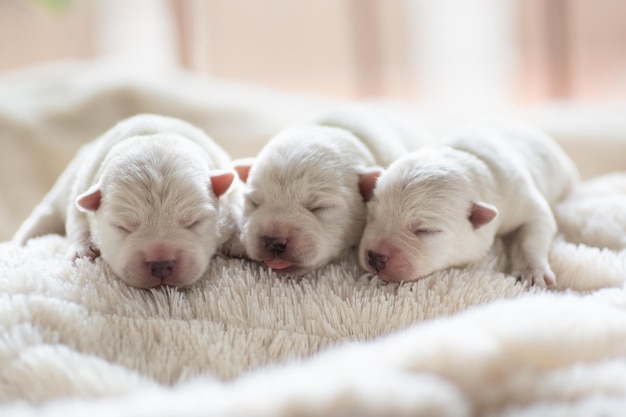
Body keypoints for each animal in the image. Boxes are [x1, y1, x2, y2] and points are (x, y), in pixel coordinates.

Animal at [15, 114, 239, 290]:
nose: (161, 265)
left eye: (195, 221)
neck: (153, 135)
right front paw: (81, 252)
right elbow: (78, 222)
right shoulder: (80, 190)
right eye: (121, 227)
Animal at [358, 123, 576, 286]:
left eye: (425, 230)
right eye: (372, 216)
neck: (465, 156)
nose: (376, 257)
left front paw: (533, 272)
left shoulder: (521, 197)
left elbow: (533, 231)